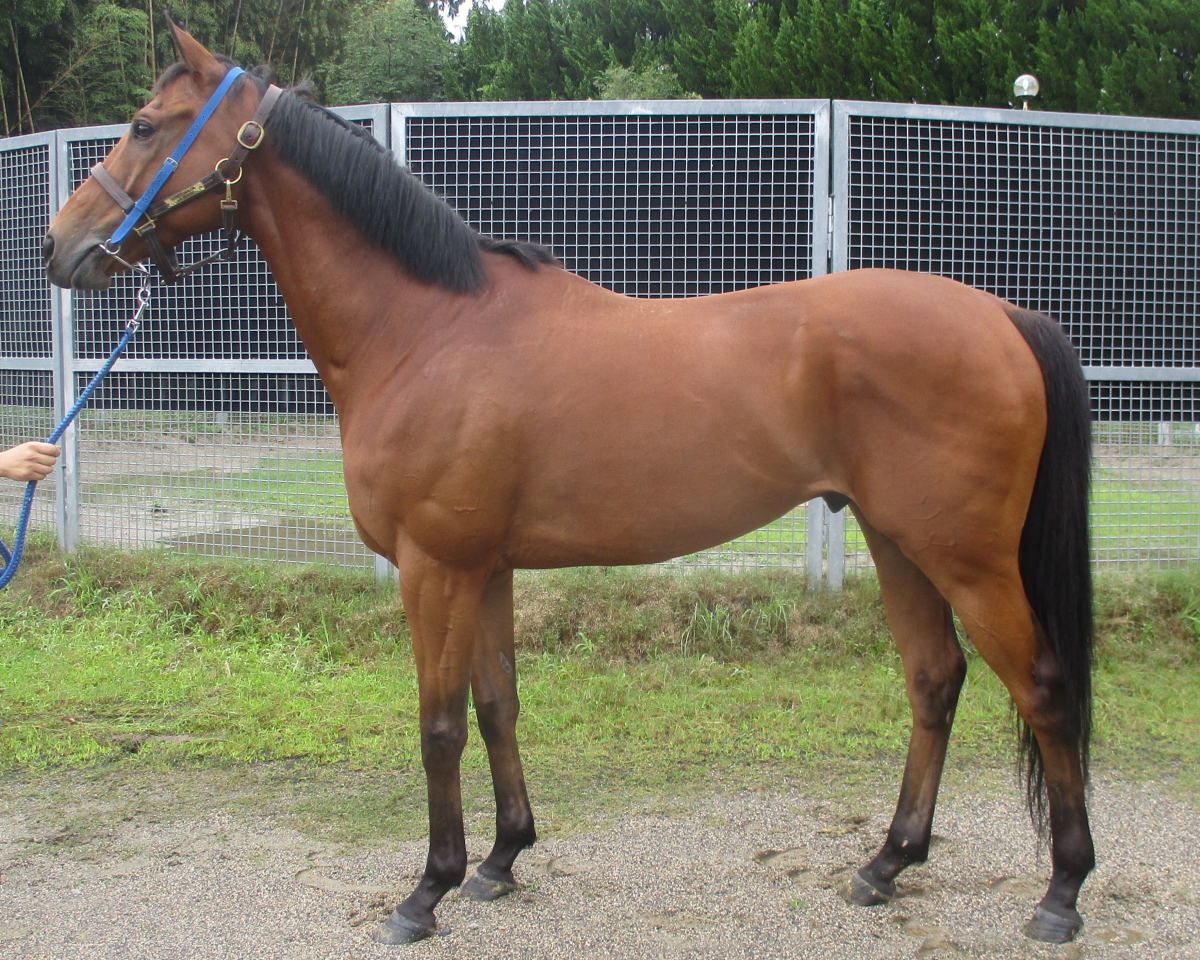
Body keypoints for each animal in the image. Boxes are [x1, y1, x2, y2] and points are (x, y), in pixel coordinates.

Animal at [43, 22, 1096, 947]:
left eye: (146, 124)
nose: (60, 246)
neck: (425, 331)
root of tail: (1004, 316)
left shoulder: (436, 567)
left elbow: (437, 725)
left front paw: (427, 892)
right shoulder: (486, 568)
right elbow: (496, 704)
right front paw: (503, 859)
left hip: (966, 557)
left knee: (1042, 689)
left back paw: (1061, 894)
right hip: (895, 540)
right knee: (935, 679)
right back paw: (886, 864)